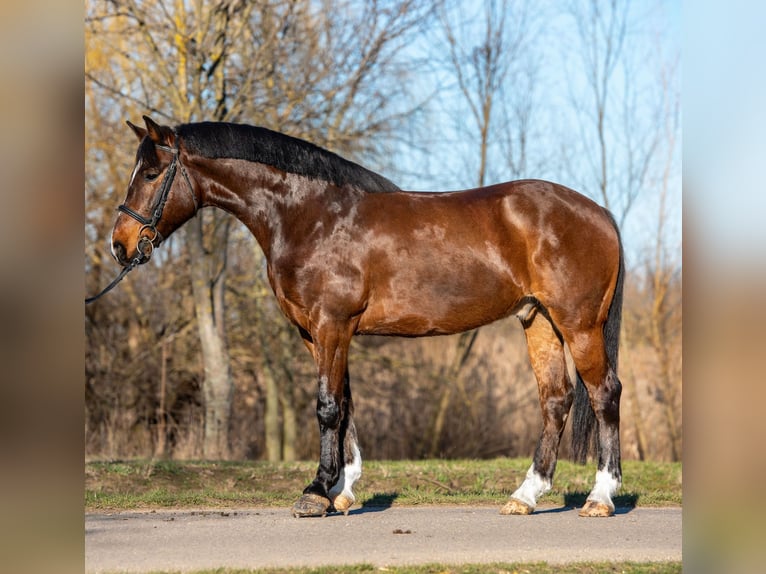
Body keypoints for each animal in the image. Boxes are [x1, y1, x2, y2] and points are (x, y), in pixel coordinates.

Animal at [106, 115, 625, 518]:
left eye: (151, 172)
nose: (120, 245)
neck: (310, 215)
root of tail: (599, 211)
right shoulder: (318, 333)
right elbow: (345, 404)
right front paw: (342, 490)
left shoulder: (332, 325)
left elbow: (327, 406)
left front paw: (315, 492)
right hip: (538, 319)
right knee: (556, 400)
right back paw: (526, 495)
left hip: (579, 325)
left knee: (604, 394)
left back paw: (600, 497)